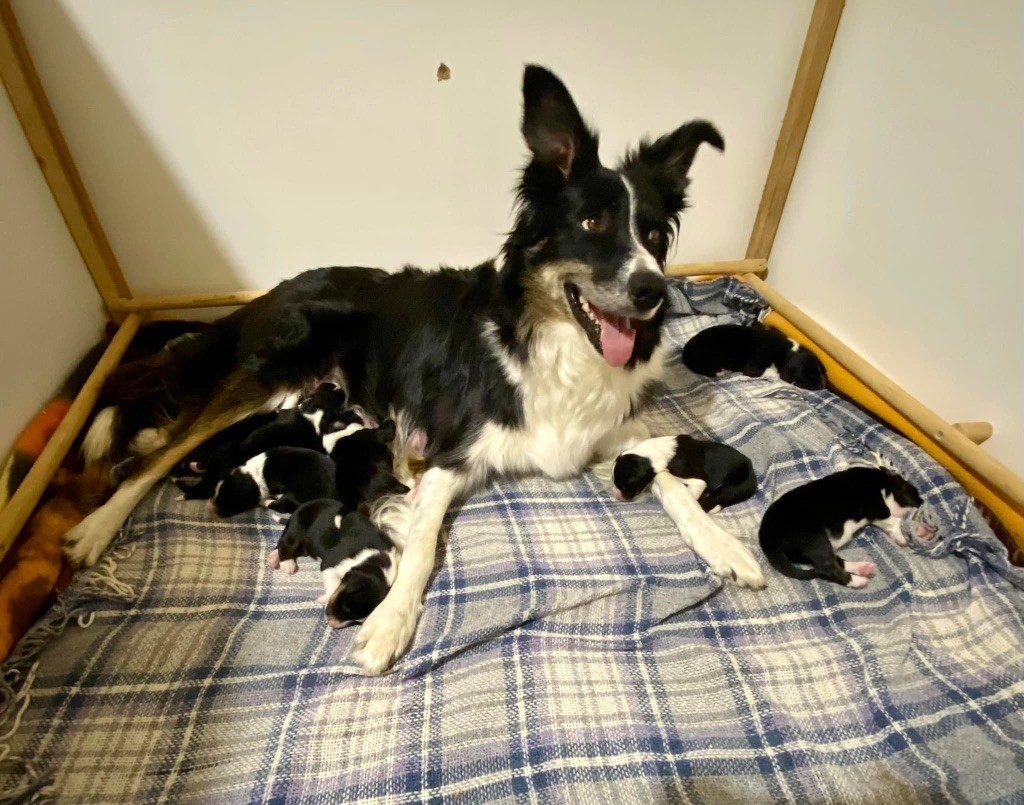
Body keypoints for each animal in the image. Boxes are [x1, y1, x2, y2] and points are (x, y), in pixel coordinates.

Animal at [610, 436, 757, 512]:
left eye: (625, 486)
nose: (615, 495)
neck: (649, 455)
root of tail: (753, 478)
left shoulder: (695, 478)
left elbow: (692, 492)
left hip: (732, 486)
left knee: (712, 501)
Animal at [684, 319, 827, 389]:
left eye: (819, 372)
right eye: (807, 377)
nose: (823, 385)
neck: (787, 352)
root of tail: (685, 353)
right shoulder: (753, 366)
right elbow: (769, 372)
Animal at [757, 460, 933, 585]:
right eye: (913, 495)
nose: (922, 502)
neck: (882, 482)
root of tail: (765, 538)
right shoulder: (877, 507)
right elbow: (894, 520)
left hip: (806, 550)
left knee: (834, 561)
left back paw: (861, 568)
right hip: (815, 540)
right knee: (827, 569)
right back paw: (857, 581)